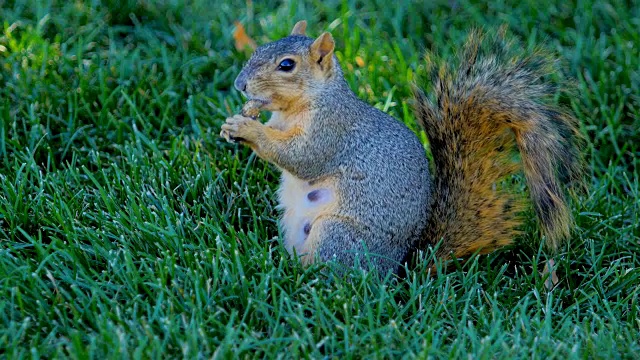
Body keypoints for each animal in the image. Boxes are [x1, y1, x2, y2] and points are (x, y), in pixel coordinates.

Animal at [220, 21, 584, 274]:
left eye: (287, 65)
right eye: (258, 49)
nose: (240, 84)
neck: (301, 105)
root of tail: (397, 267)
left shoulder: (331, 131)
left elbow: (302, 157)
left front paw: (247, 128)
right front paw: (238, 122)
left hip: (337, 235)